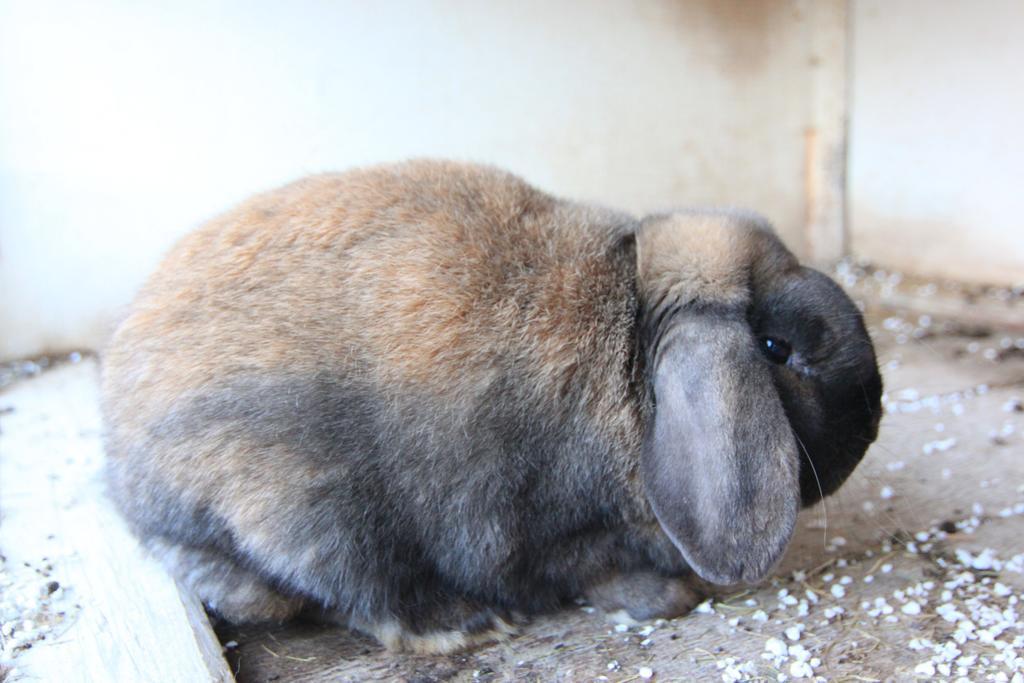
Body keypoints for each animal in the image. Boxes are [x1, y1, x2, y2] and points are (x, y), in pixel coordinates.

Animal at [103, 157, 884, 655]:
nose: (875, 415)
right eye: (776, 348)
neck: (633, 338)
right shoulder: (540, 526)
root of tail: (128, 484)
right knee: (350, 589)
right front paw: (670, 595)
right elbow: (584, 568)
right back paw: (463, 622)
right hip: (297, 503)